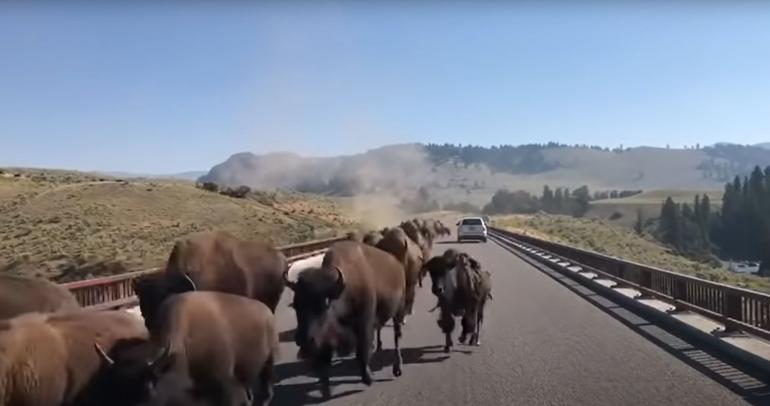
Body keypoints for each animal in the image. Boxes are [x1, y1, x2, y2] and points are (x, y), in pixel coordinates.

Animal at [284, 239, 404, 398]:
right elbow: (325, 361)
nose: (303, 340)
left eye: (325, 303)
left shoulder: (364, 324)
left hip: (398, 313)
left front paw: (368, 379)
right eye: (295, 305)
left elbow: (362, 351)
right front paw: (325, 389)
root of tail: (398, 265)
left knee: (397, 338)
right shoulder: (325, 339)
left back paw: (397, 369)